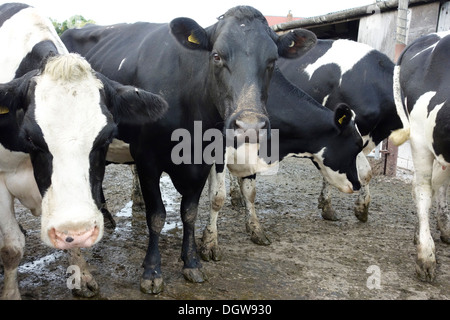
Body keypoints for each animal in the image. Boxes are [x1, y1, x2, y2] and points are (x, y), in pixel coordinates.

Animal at [60, 5, 316, 296]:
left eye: (272, 60)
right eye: (216, 56)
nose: (249, 126)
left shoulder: (204, 161)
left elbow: (190, 213)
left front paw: (191, 261)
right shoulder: (147, 159)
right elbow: (157, 216)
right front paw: (152, 271)